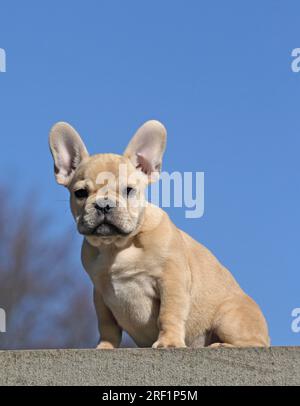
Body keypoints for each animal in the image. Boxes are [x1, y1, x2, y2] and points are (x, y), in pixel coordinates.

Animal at [48, 120, 270, 348]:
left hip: (229, 316)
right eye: (80, 193)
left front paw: (169, 342)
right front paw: (105, 347)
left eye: (129, 190)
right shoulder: (100, 293)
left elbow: (169, 313)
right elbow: (107, 326)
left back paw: (221, 345)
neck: (117, 246)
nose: (104, 204)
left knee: (255, 342)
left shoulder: (171, 279)